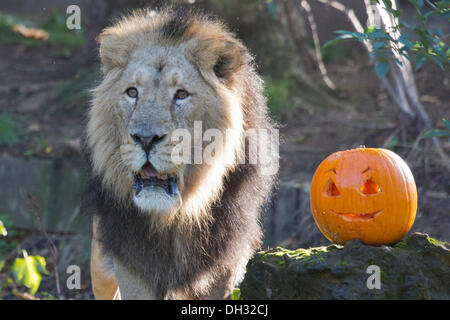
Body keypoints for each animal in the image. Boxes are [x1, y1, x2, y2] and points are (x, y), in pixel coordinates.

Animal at [82, 7, 276, 300]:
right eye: (132, 92)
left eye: (181, 94)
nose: (145, 139)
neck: (176, 217)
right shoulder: (132, 263)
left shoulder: (224, 263)